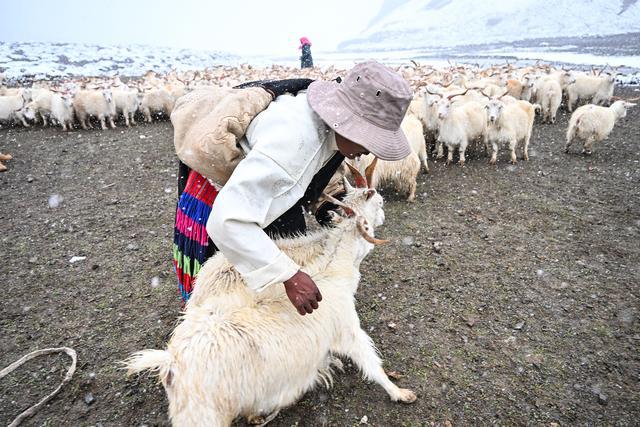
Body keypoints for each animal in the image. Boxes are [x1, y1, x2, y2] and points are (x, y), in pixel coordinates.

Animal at [125, 174, 418, 427]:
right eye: (379, 203)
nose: (384, 217)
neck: (331, 270)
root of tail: (170, 362)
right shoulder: (348, 331)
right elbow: (371, 362)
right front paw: (399, 392)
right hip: (202, 415)